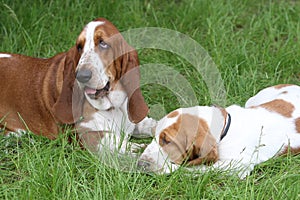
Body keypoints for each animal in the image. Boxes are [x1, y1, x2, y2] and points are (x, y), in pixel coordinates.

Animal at [0, 17, 155, 148]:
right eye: (79, 47)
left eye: (103, 43)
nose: (81, 76)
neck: (112, 106)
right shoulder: (87, 135)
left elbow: (153, 123)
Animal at [138, 84, 300, 178]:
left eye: (167, 141)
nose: (141, 164)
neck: (224, 128)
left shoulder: (237, 166)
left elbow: (198, 169)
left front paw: (168, 169)